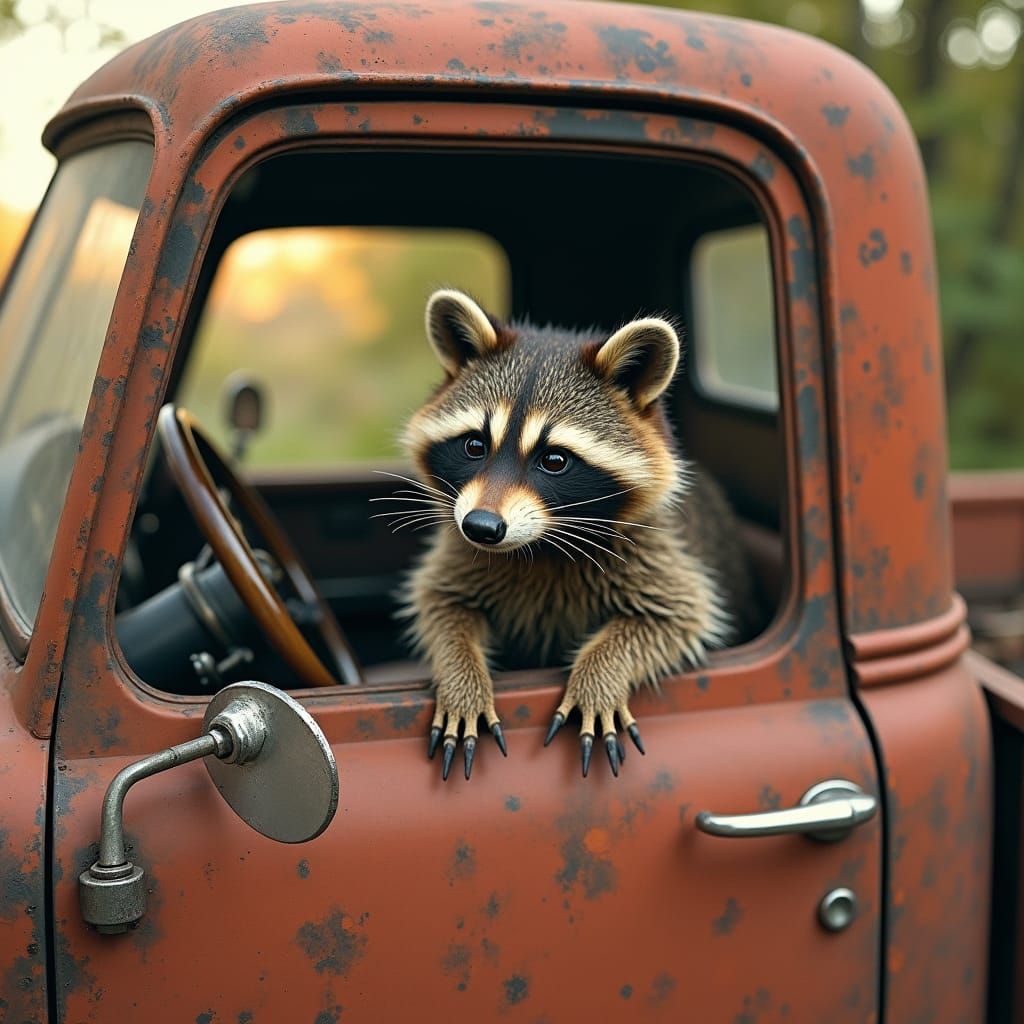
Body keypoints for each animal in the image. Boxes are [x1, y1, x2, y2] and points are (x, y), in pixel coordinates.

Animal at [387, 289, 755, 781]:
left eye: (555, 460)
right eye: (474, 446)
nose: (481, 527)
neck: (539, 544)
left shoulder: (658, 553)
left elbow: (678, 615)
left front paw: (599, 675)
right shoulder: (460, 554)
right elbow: (439, 604)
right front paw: (460, 674)